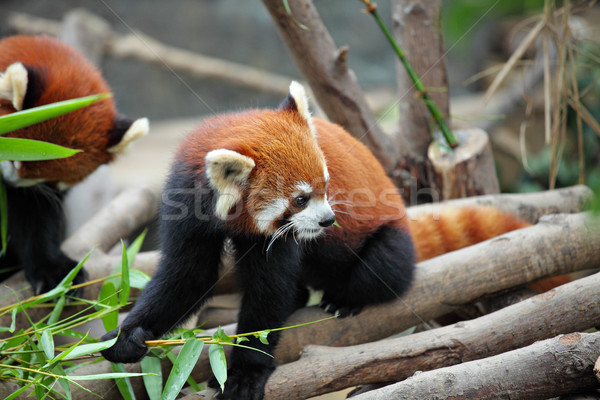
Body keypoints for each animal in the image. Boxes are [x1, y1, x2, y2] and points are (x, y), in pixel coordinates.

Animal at [102, 82, 528, 400]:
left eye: (326, 186)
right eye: (300, 199)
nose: (328, 219)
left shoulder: (278, 239)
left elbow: (267, 292)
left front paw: (245, 371)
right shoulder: (186, 205)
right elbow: (188, 275)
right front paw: (127, 335)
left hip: (391, 239)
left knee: (383, 269)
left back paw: (345, 298)